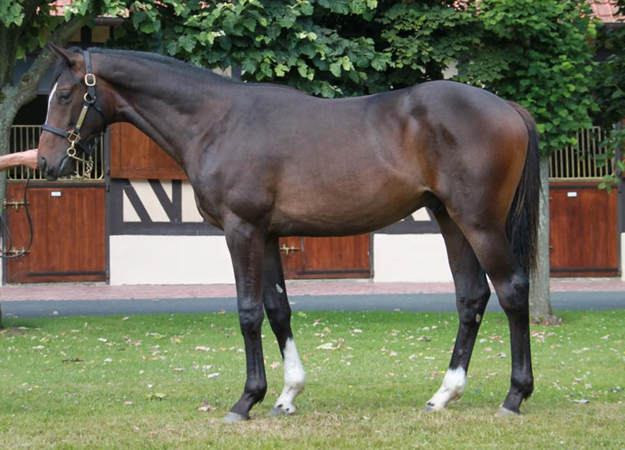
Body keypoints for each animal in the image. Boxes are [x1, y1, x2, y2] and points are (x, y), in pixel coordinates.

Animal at [37, 45, 536, 422]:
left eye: (65, 94)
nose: (44, 162)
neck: (217, 122)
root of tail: (506, 107)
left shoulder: (241, 230)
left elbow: (248, 313)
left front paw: (245, 400)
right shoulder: (268, 235)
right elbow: (278, 310)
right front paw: (286, 395)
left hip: (479, 223)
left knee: (512, 290)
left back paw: (514, 396)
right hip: (450, 219)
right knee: (471, 297)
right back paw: (443, 395)